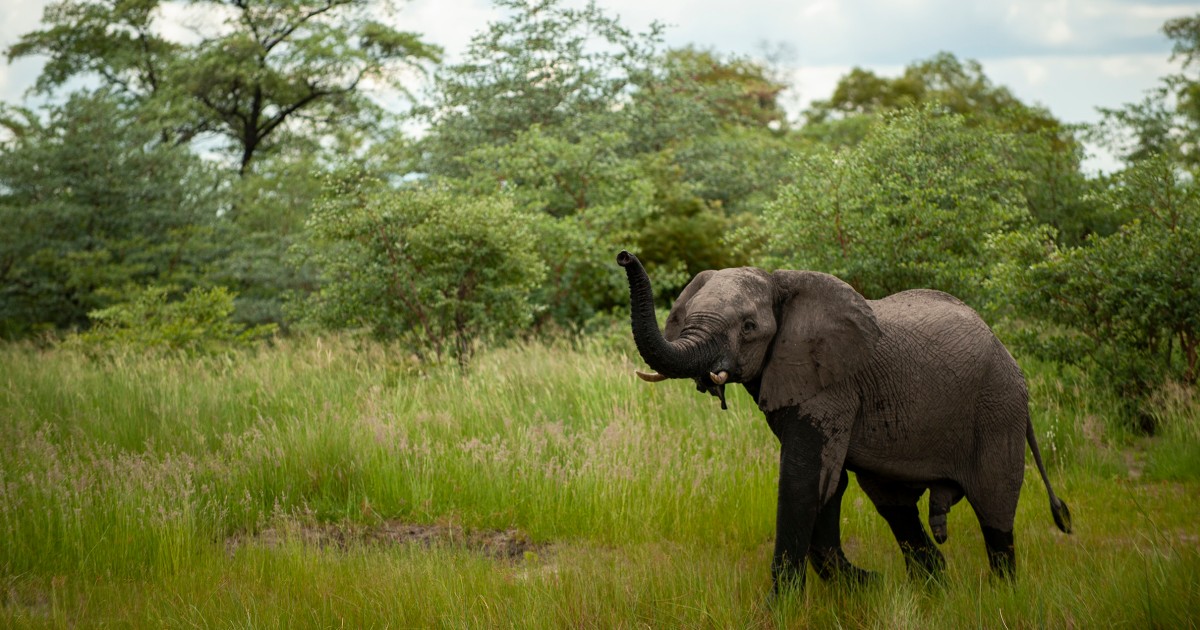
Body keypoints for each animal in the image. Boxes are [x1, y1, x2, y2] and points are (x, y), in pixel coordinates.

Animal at [614, 248, 1075, 592]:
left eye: (748, 327)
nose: (623, 256)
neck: (780, 281)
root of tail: (1006, 351)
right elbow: (828, 481)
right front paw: (863, 584)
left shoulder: (833, 385)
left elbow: (805, 479)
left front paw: (782, 608)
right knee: (895, 506)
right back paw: (933, 585)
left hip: (999, 408)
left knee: (995, 508)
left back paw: (1002, 593)